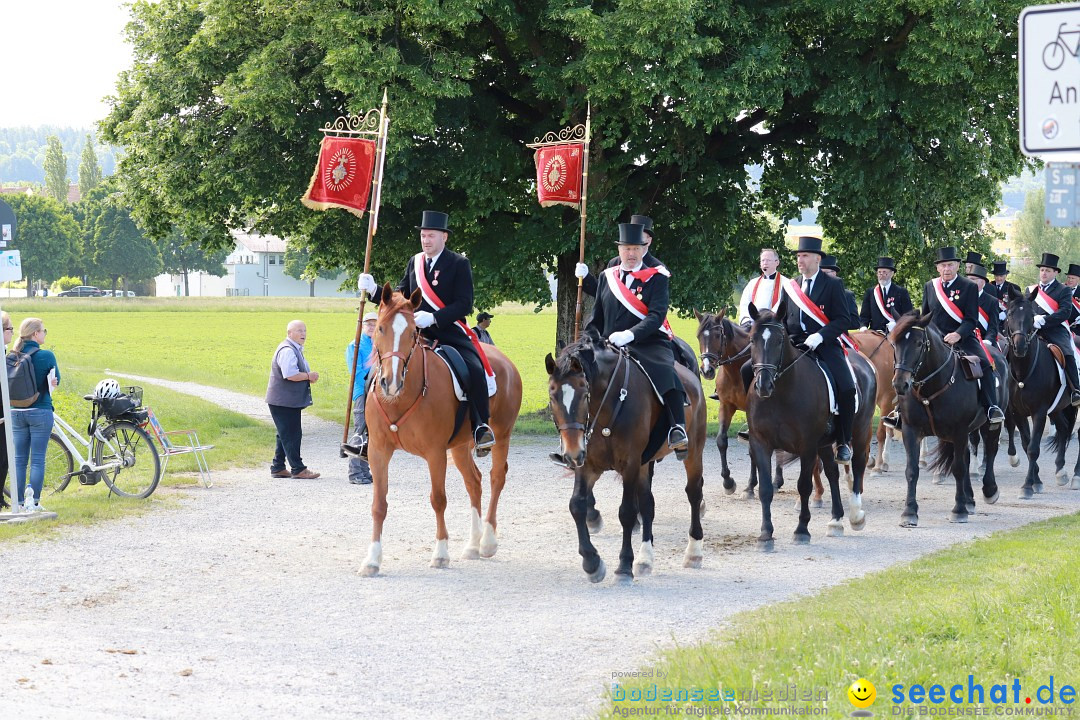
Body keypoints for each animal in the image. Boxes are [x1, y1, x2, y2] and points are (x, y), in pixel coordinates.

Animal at [360, 284, 524, 578]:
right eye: (379, 328)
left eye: (412, 331)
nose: (391, 382)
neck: (401, 397)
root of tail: (505, 361)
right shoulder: (379, 451)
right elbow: (379, 505)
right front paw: (372, 560)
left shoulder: (435, 453)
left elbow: (438, 499)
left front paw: (440, 554)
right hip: (460, 447)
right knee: (474, 482)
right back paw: (472, 545)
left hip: (502, 435)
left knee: (496, 478)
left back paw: (487, 542)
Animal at [544, 330, 704, 582]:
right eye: (552, 397)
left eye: (584, 393)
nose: (570, 454)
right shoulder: (588, 464)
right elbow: (577, 505)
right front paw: (592, 562)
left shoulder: (629, 464)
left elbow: (627, 512)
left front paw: (624, 565)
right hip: (644, 463)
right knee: (648, 503)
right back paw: (645, 558)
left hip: (693, 451)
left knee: (694, 492)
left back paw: (694, 552)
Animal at [751, 302, 876, 548]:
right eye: (752, 339)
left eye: (779, 340)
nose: (763, 385)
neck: (781, 394)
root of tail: (865, 362)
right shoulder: (761, 442)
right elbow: (766, 489)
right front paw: (765, 534)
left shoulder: (807, 446)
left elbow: (804, 486)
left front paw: (801, 530)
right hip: (825, 442)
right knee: (832, 473)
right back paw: (836, 520)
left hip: (860, 430)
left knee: (857, 464)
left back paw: (856, 515)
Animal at [885, 313, 1002, 526]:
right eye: (894, 343)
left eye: (918, 343)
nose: (899, 384)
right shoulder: (910, 430)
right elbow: (912, 470)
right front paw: (909, 512)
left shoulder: (959, 431)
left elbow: (958, 468)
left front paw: (958, 510)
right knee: (967, 456)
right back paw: (969, 500)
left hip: (990, 424)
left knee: (990, 449)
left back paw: (989, 490)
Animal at [997, 284, 1075, 496]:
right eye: (1009, 314)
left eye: (1032, 316)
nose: (1020, 346)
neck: (1023, 371)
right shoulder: (1017, 412)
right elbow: (1026, 444)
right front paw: (1036, 481)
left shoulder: (1039, 412)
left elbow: (1033, 448)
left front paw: (1027, 486)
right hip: (1057, 408)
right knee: (1063, 428)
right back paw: (1060, 471)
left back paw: (1076, 475)